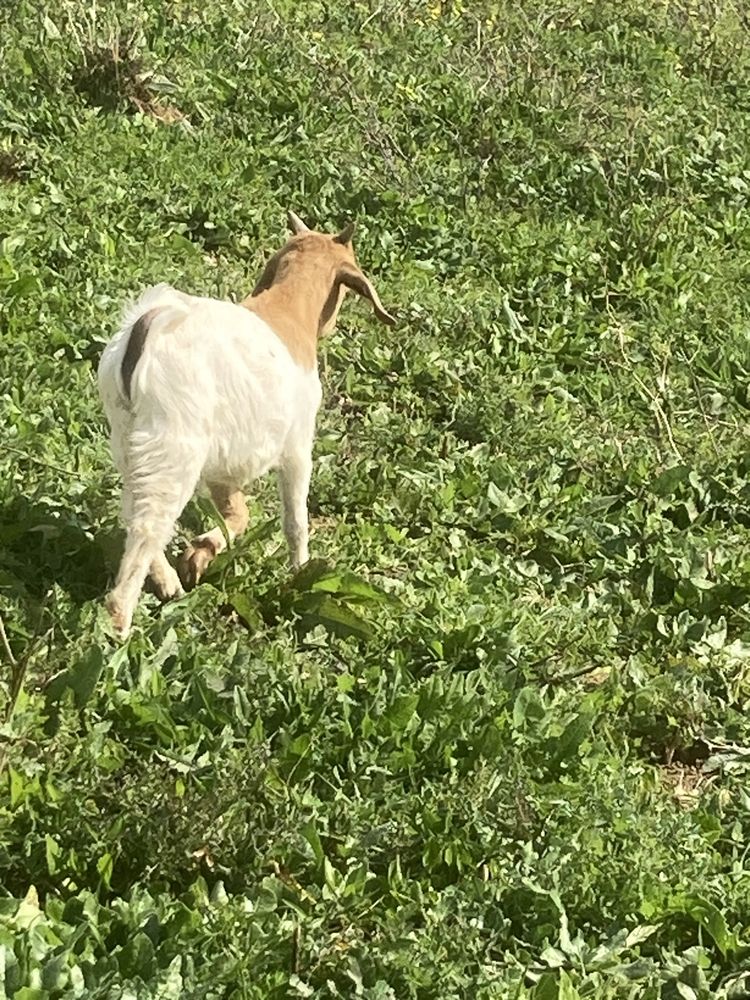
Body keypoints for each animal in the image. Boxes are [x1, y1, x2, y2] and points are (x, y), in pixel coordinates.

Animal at [98, 212, 400, 636]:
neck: (287, 311)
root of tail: (152, 324)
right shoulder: (296, 446)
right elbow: (295, 520)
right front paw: (299, 572)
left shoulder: (226, 460)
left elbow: (238, 514)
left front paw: (199, 555)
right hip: (174, 445)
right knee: (146, 527)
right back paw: (120, 627)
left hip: (129, 441)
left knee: (133, 511)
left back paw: (168, 583)